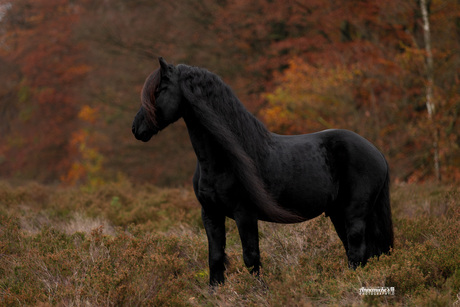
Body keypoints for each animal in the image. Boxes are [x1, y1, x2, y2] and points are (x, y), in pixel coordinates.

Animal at [131, 57, 394, 286]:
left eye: (159, 90)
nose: (136, 128)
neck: (221, 159)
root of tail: (377, 152)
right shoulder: (210, 214)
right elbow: (215, 258)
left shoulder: (245, 214)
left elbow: (251, 257)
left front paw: (258, 292)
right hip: (338, 213)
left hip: (354, 214)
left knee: (357, 250)